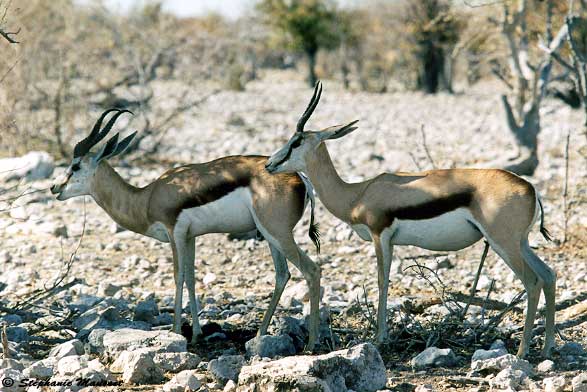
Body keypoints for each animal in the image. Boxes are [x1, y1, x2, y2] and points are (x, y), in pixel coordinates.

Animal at [51, 108, 324, 350]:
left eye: (75, 166)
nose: (55, 187)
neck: (146, 197)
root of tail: (300, 178)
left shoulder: (175, 233)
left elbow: (178, 276)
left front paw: (175, 331)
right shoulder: (190, 238)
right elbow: (192, 279)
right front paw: (195, 334)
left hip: (278, 233)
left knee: (312, 270)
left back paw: (311, 343)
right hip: (269, 236)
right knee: (282, 274)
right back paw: (260, 334)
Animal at [266, 82, 556, 358]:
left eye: (296, 141)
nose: (269, 164)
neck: (358, 193)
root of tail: (530, 188)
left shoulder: (379, 235)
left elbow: (382, 281)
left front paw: (380, 338)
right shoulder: (391, 241)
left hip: (503, 243)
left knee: (533, 282)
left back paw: (522, 351)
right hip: (520, 244)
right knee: (549, 275)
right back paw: (547, 348)